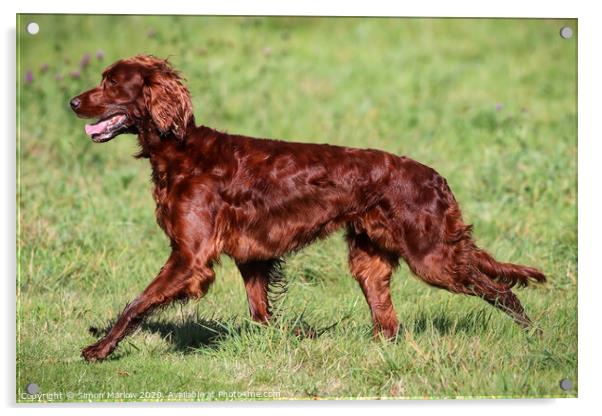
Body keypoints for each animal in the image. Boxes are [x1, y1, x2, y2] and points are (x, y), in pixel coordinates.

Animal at [70, 54, 544, 360]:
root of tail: (436, 178)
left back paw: (535, 338)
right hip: (371, 261)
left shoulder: (190, 258)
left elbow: (136, 304)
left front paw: (99, 348)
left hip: (433, 258)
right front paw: (299, 336)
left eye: (113, 82)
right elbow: (261, 314)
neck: (181, 149)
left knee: (501, 291)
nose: (73, 102)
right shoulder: (252, 256)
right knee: (388, 322)